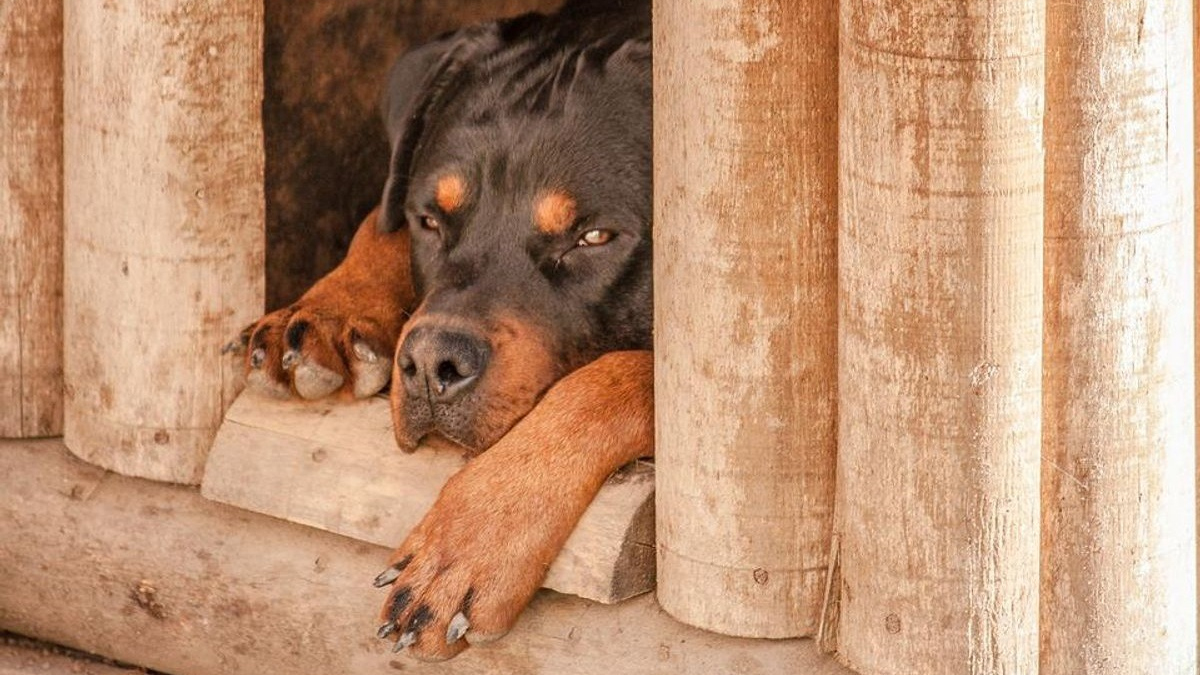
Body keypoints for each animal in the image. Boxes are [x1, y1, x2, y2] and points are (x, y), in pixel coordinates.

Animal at [225, 0, 657, 662]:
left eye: (593, 237)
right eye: (429, 219)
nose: (431, 364)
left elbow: (616, 376)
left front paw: (469, 544)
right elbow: (377, 222)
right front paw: (325, 312)